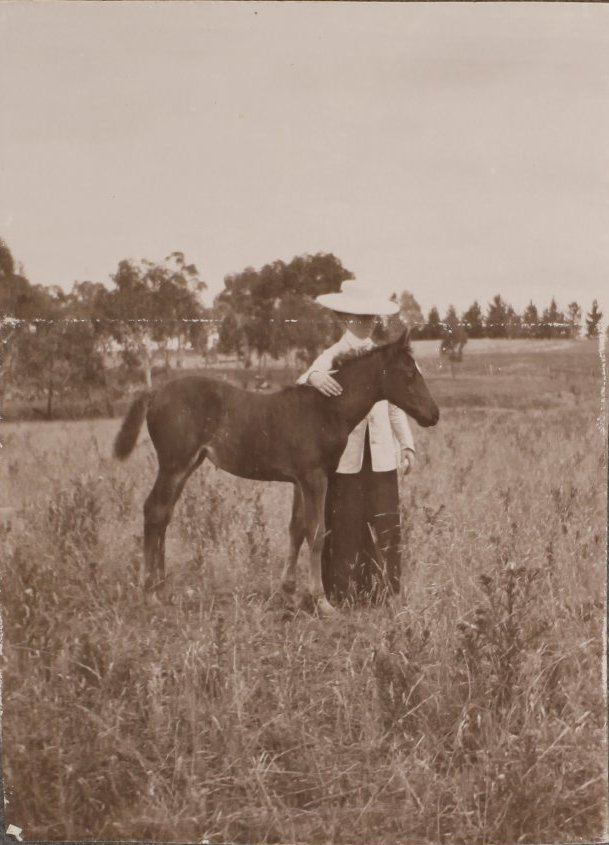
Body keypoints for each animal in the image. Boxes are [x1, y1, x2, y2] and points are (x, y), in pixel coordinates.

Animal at [113, 330, 439, 614]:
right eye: (409, 373)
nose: (433, 415)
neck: (327, 409)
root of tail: (154, 391)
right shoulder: (315, 478)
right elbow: (316, 533)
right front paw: (321, 601)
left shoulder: (299, 481)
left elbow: (296, 529)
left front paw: (290, 594)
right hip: (174, 464)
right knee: (154, 510)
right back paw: (150, 593)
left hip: (187, 465)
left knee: (164, 515)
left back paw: (162, 588)